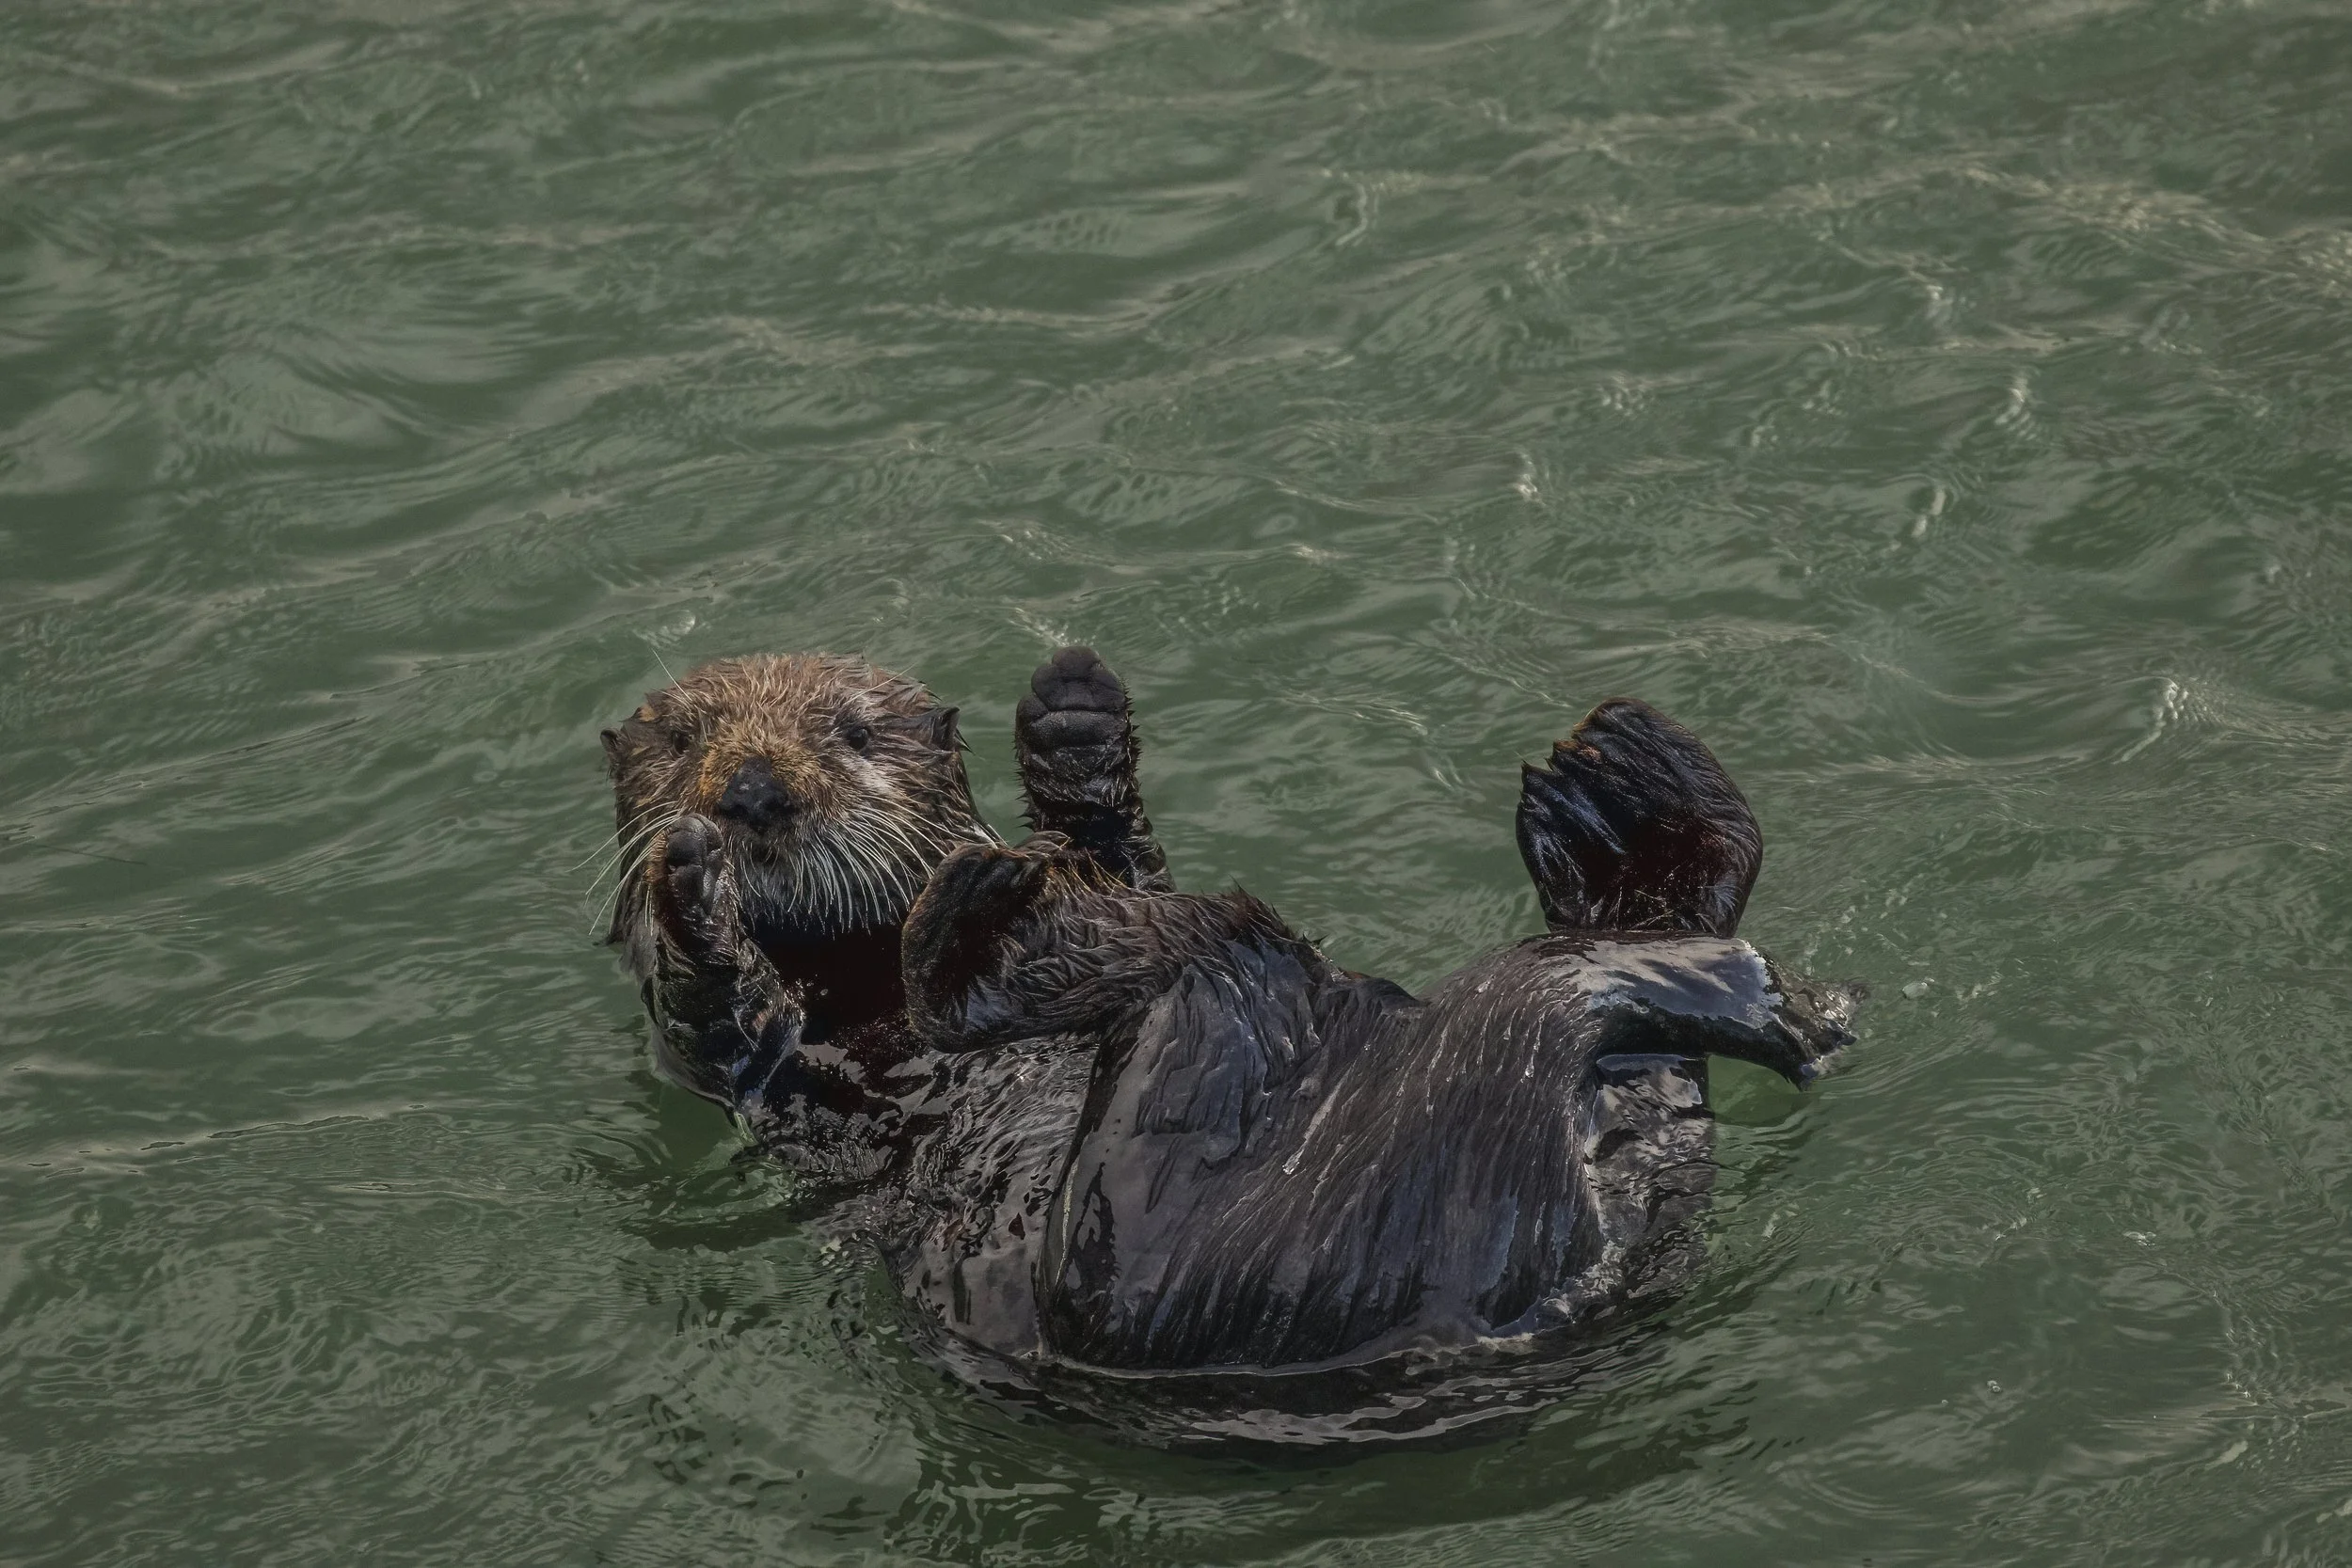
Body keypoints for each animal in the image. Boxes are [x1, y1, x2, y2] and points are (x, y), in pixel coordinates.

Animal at [600, 648, 1855, 1423]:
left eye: (853, 732)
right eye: (685, 742)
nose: (751, 789)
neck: (856, 965)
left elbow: (1118, 849)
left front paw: (1074, 719)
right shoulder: (743, 1063)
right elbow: (720, 1018)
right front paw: (685, 879)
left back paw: (1627, 792)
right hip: (1155, 1237)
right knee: (1253, 959)